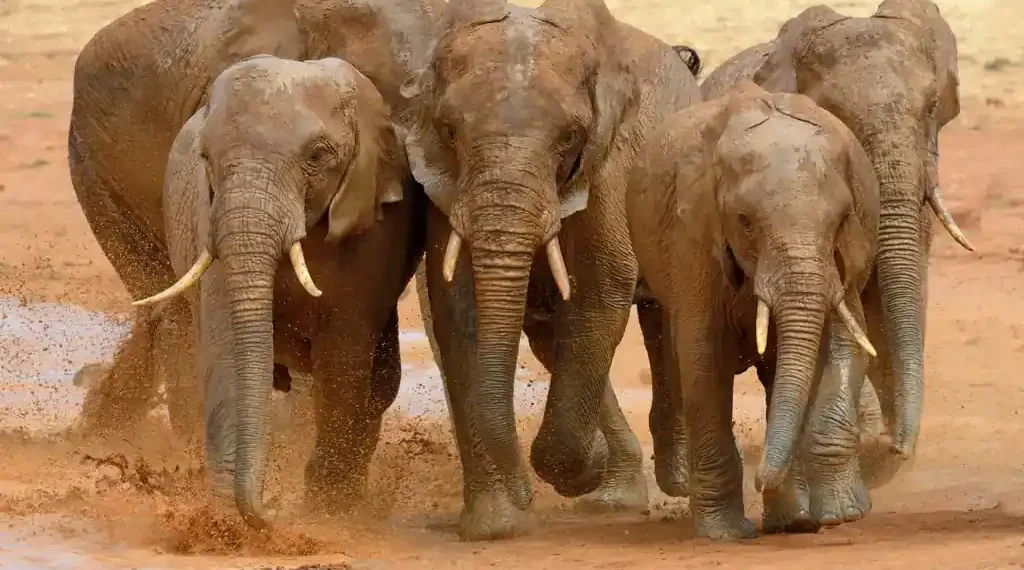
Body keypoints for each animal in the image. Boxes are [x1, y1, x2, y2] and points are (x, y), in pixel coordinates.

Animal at [129, 54, 425, 527]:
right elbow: (227, 345)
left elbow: (344, 353)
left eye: (318, 156)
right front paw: (222, 522)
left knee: (377, 381)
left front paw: (326, 510)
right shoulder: (209, 219)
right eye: (206, 157)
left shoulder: (375, 229)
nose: (271, 512)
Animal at [398, 0, 703, 540]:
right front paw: (494, 527)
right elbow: (457, 309)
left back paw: (677, 479)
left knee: (664, 318)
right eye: (450, 131)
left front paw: (574, 472)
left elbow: (603, 290)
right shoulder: (444, 187)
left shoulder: (611, 164)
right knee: (551, 337)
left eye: (570, 137)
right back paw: (613, 494)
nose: (524, 494)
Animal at [626, 82, 883, 539]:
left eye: (841, 220)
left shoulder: (845, 258)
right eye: (744, 221)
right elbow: (703, 357)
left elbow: (843, 345)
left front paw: (836, 515)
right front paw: (725, 533)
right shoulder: (692, 236)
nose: (762, 477)